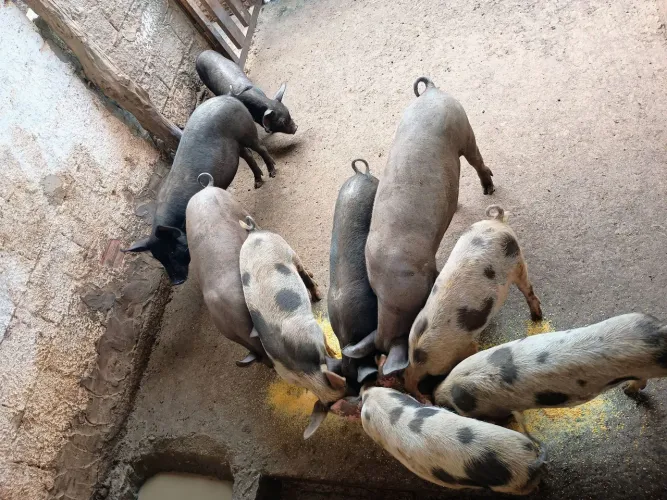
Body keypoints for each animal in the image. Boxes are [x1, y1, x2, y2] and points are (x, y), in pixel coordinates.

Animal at [123, 95, 276, 284]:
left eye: (171, 251)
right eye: (159, 258)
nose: (176, 281)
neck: (177, 222)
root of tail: (228, 97)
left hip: (246, 130)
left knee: (259, 147)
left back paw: (273, 172)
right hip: (236, 145)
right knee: (247, 154)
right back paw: (258, 183)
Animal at [238, 216, 348, 438]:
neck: (304, 370)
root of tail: (254, 233)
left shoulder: (313, 330)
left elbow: (325, 342)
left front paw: (333, 351)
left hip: (286, 248)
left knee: (301, 270)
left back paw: (318, 296)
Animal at [344, 76, 495, 375]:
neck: (390, 298)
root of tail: (431, 92)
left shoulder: (425, 272)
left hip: (463, 126)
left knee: (477, 159)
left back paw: (489, 189)